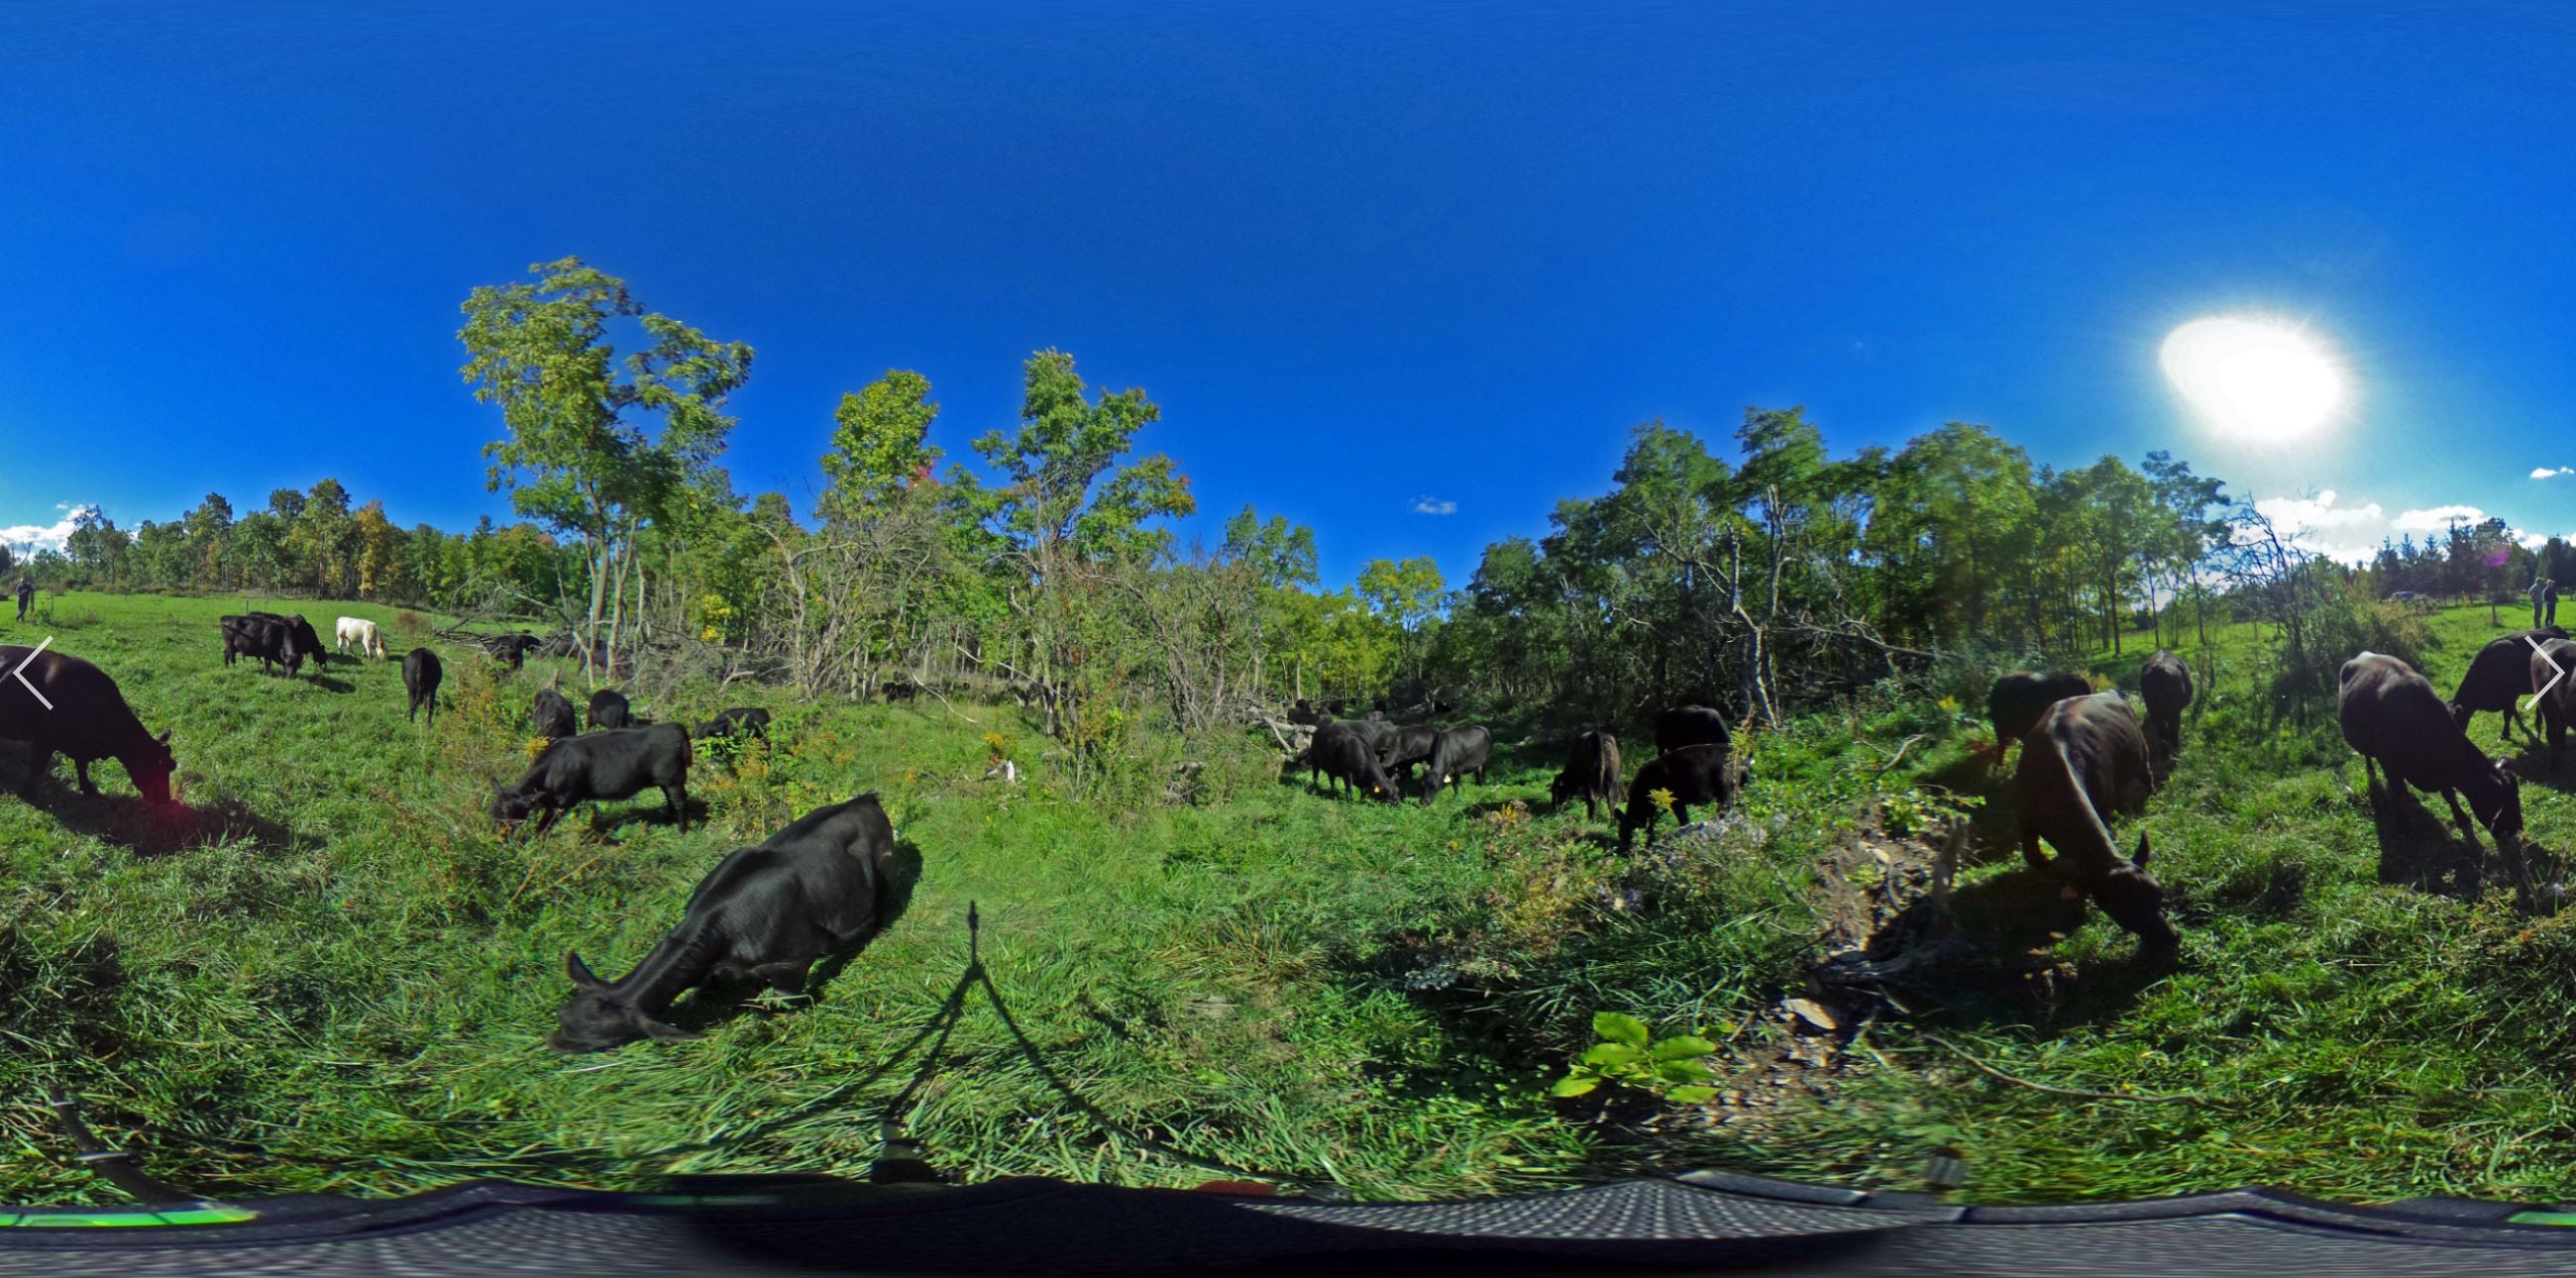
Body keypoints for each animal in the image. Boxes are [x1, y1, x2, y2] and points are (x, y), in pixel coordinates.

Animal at [0, 644, 176, 803]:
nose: (166, 800)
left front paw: (88, 788)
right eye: (157, 768)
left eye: (171, 767)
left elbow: (81, 766)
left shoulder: (80, 746)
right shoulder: (44, 740)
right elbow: (37, 767)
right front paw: (30, 794)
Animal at [488, 721, 696, 834]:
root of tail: (674, 726)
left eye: (509, 813)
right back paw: (668, 821)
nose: (498, 838)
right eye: (493, 811)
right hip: (665, 781)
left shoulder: (563, 801)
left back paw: (682, 830)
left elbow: (543, 827)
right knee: (669, 799)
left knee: (679, 802)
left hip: (674, 779)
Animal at [548, 794, 901, 1051]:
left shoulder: (795, 957)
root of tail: (864, 799)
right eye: (563, 1014)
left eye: (596, 1041)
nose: (552, 1044)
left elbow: (783, 1002)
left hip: (883, 866)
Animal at [2008, 691, 2174, 958]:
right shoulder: (2025, 824)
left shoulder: (2102, 809)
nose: (2172, 939)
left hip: (2142, 754)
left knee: (2146, 776)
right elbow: (2038, 860)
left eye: (2159, 895)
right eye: (2122, 911)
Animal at [2349, 654, 2524, 902]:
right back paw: (2372, 773)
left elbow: (2450, 796)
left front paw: (2464, 822)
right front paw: (2404, 827)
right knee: (2368, 757)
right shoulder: (2390, 765)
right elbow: (2399, 794)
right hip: (2367, 748)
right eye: (2504, 802)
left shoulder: (2442, 774)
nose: (2518, 828)